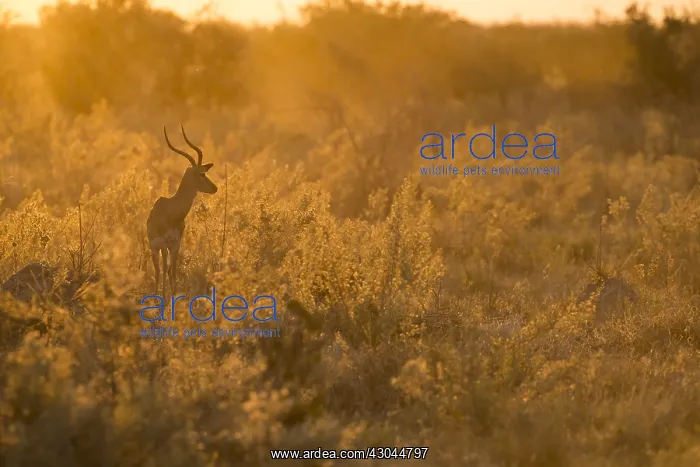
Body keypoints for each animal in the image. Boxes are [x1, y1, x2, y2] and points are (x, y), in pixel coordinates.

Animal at [147, 125, 217, 297]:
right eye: (202, 173)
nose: (215, 188)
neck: (172, 211)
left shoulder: (176, 243)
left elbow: (172, 271)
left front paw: (173, 296)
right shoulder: (164, 243)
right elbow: (165, 270)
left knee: (164, 270)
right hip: (155, 248)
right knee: (158, 271)